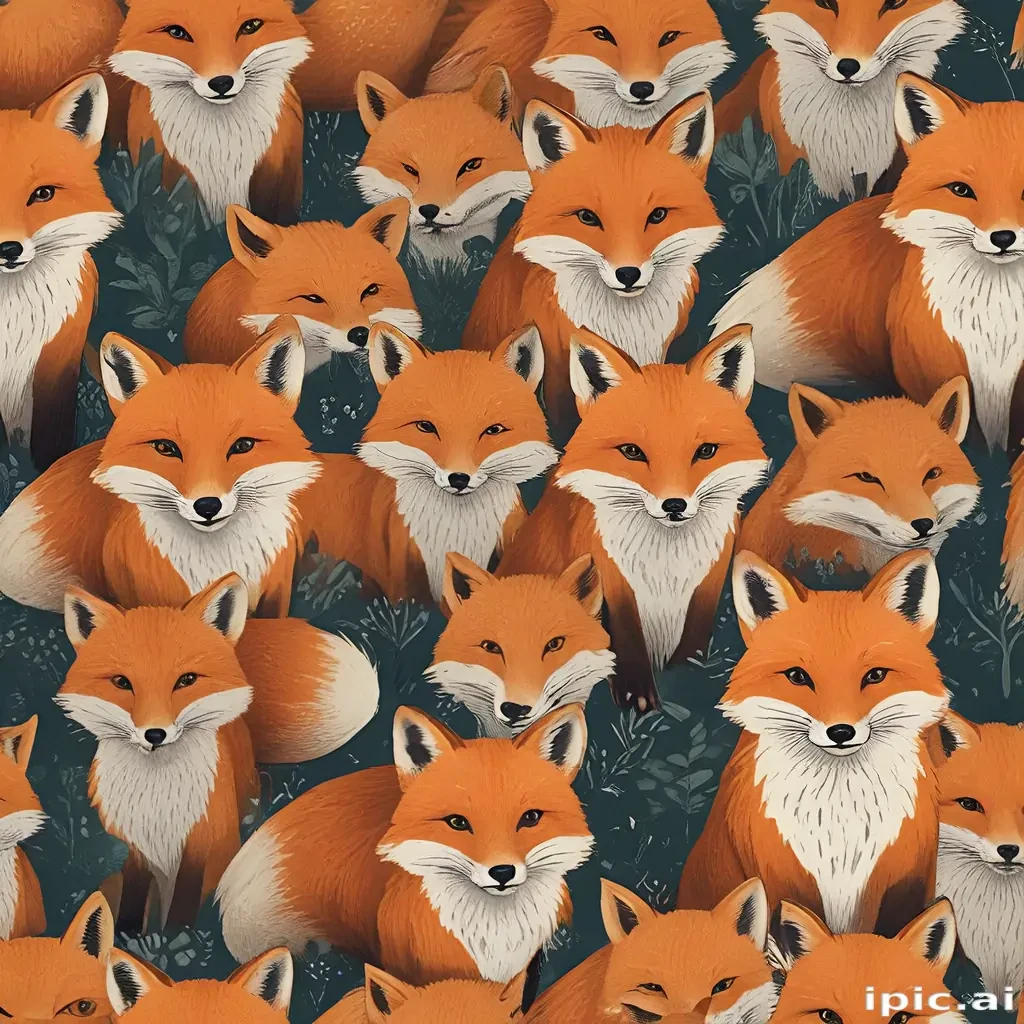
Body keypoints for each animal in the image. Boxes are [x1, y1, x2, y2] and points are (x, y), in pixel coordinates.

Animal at [55, 571, 378, 932]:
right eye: (122, 683)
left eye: (186, 680)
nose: (155, 734)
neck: (159, 801)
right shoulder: (134, 850)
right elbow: (132, 905)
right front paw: (132, 936)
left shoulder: (201, 846)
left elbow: (183, 909)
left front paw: (175, 937)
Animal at [498, 327, 767, 713]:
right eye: (632, 452)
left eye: (705, 451)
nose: (674, 505)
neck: (667, 564)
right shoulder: (610, 577)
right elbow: (625, 638)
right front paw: (635, 696)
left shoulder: (709, 581)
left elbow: (693, 641)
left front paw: (688, 680)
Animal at [677, 548, 948, 938]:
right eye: (797, 676)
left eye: (875, 675)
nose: (841, 732)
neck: (841, 822)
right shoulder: (780, 880)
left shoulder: (898, 883)